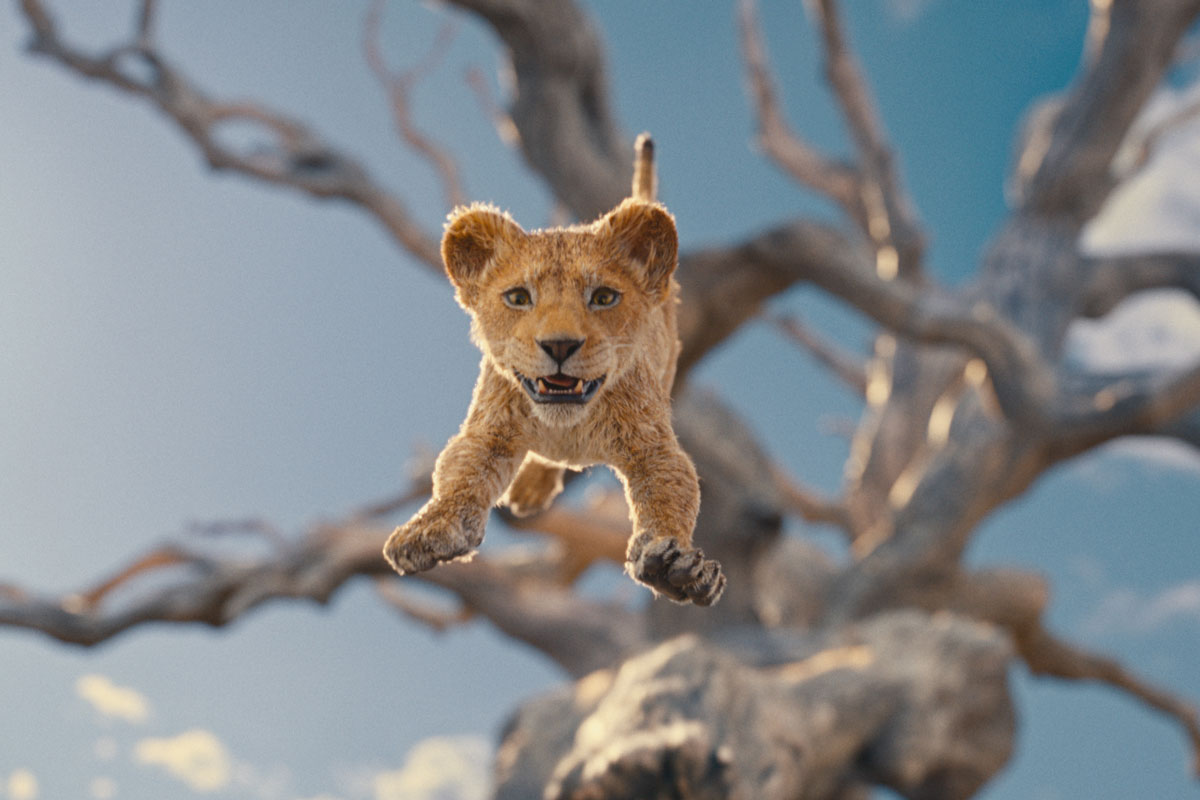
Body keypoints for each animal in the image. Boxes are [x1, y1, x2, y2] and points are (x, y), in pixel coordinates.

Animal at [383, 136, 725, 606]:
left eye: (603, 297)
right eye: (518, 297)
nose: (559, 345)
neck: (567, 425)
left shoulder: (652, 446)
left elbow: (671, 492)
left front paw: (674, 566)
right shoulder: (488, 430)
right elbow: (458, 475)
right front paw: (428, 529)